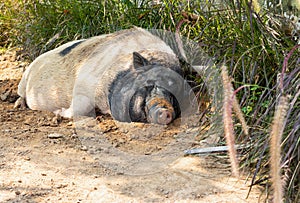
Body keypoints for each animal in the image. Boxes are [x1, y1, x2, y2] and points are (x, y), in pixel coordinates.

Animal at [14, 27, 192, 125]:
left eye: (175, 99)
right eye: (150, 82)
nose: (166, 112)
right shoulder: (83, 83)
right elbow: (79, 107)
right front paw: (59, 113)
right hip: (24, 81)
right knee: (20, 94)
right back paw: (18, 105)